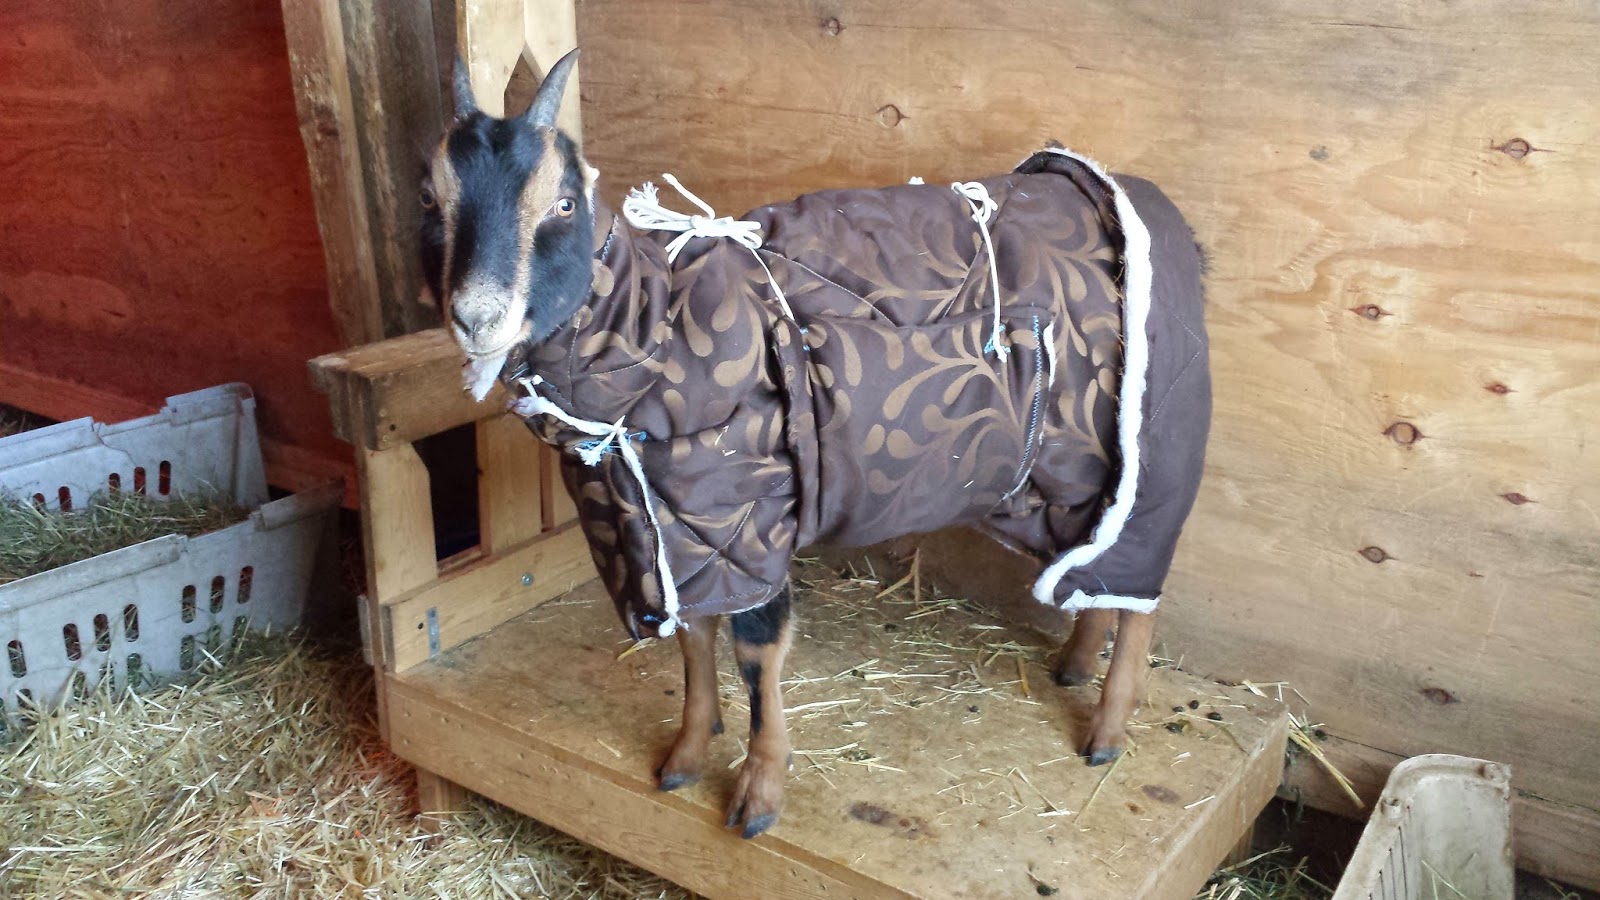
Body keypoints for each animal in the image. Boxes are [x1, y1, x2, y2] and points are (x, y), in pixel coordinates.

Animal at [423, 49, 1211, 839]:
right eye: (431, 198)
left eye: (562, 204)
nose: (479, 318)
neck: (657, 332)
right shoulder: (679, 529)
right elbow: (693, 639)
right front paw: (685, 754)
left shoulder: (753, 513)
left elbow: (756, 654)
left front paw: (759, 794)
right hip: (1060, 484)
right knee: (1098, 565)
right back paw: (1076, 663)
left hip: (1147, 454)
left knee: (1141, 582)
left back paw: (1107, 730)